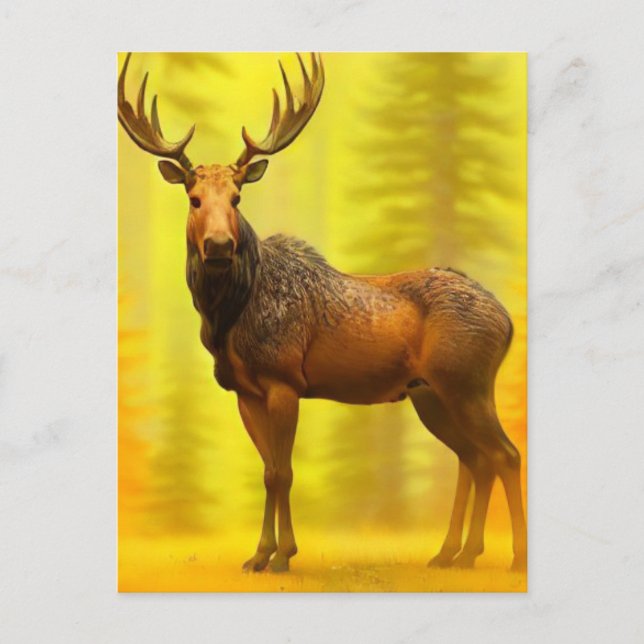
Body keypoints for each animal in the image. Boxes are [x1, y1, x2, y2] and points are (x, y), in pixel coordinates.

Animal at [118, 52, 527, 573]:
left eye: (237, 197)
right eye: (194, 198)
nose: (219, 246)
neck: (227, 318)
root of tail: (508, 320)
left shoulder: (285, 381)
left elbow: (283, 472)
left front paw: (282, 555)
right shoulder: (244, 392)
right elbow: (268, 468)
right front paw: (259, 554)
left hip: (466, 382)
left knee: (505, 454)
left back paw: (510, 558)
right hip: (431, 394)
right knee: (476, 459)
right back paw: (456, 553)